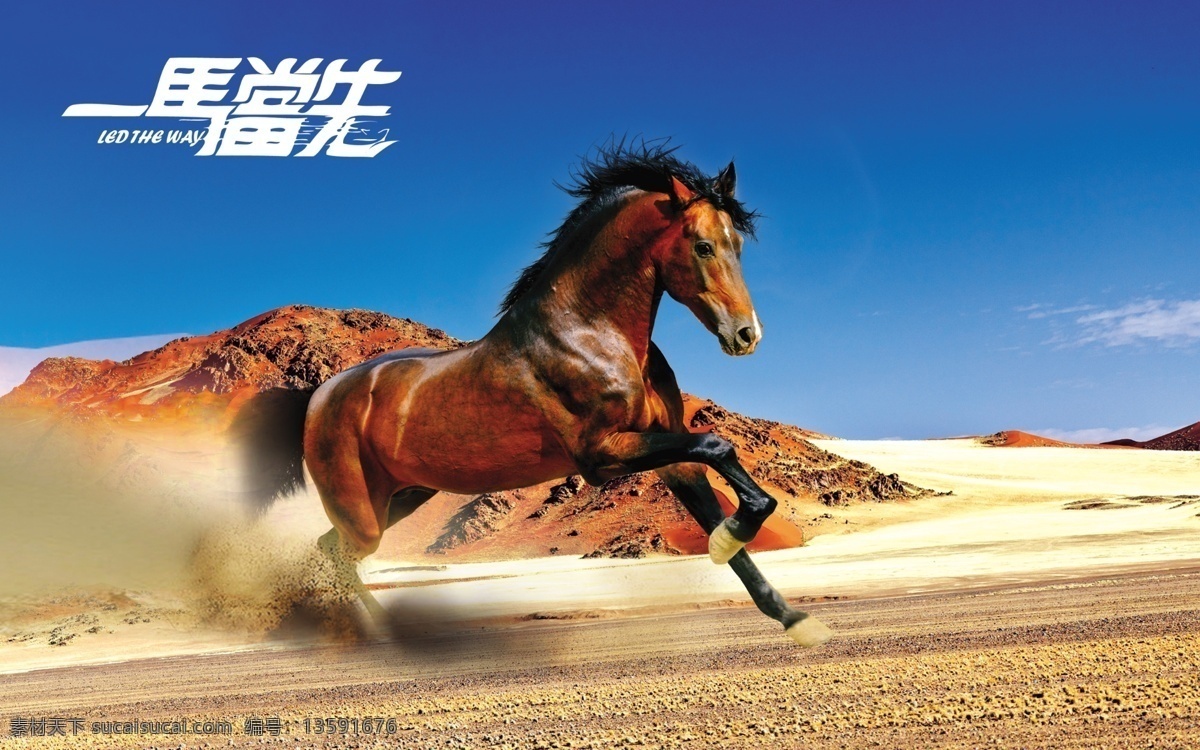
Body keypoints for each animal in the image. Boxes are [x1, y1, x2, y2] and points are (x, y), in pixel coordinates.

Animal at [236, 142, 833, 647]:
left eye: (738, 245)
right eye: (704, 245)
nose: (747, 335)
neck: (589, 331)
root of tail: (318, 396)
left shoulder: (669, 453)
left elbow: (729, 500)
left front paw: (795, 618)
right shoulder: (602, 455)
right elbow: (719, 447)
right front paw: (732, 537)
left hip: (400, 497)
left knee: (328, 547)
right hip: (361, 510)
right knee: (338, 553)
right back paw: (382, 634)